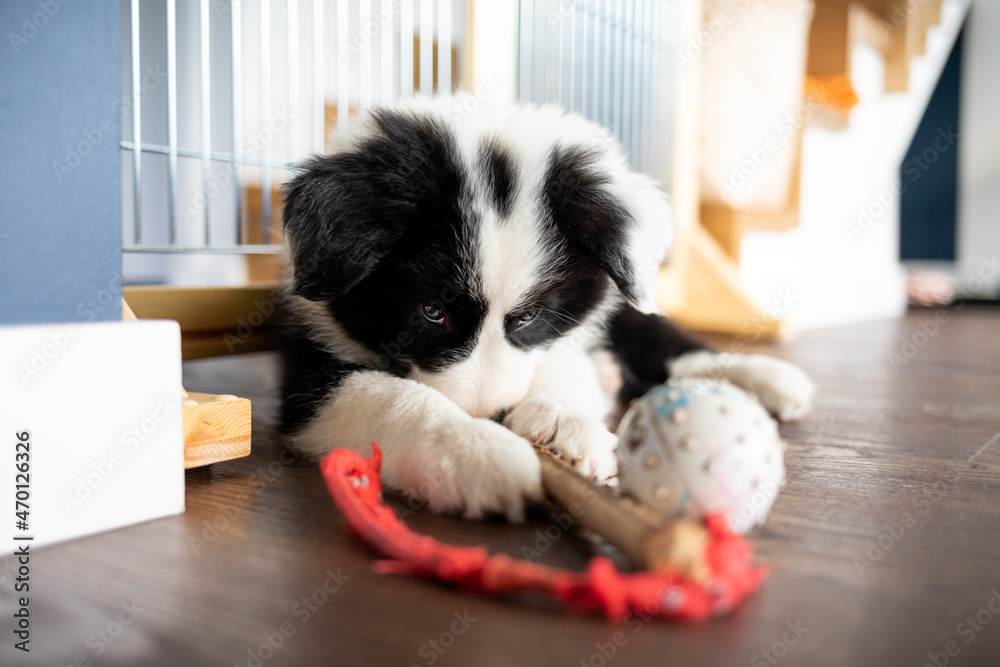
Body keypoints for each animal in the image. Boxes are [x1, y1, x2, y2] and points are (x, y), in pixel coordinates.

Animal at [278, 98, 816, 520]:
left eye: (531, 316)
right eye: (431, 311)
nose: (490, 415)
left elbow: (561, 360)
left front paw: (562, 422)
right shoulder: (309, 365)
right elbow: (389, 397)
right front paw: (475, 449)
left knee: (654, 332)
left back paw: (766, 376)